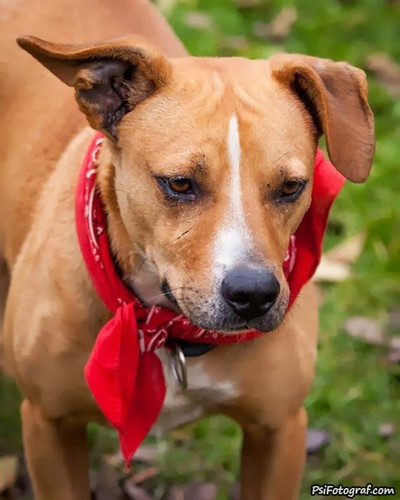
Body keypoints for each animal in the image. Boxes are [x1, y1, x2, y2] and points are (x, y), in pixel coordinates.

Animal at [0, 0, 375, 498]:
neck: (166, 329)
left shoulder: (279, 432)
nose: (253, 294)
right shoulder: (49, 425)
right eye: (179, 184)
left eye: (291, 187)